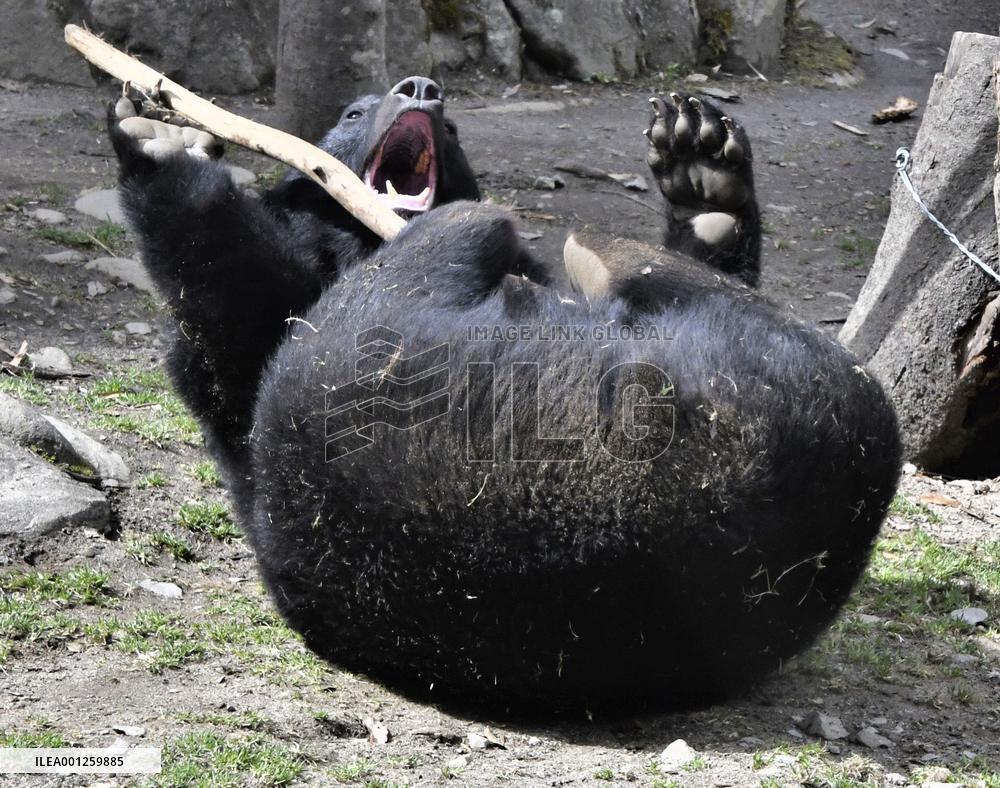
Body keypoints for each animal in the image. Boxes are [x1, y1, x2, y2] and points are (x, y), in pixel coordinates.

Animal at [108, 77, 901, 716]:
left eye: (455, 130)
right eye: (356, 110)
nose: (422, 88)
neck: (355, 242)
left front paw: (702, 168)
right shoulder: (270, 347)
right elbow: (230, 305)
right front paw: (162, 138)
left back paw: (701, 185)